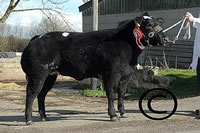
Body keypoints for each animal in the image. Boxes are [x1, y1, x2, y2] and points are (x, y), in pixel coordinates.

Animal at [20, 13, 169, 124]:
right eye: (149, 25)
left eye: (159, 24)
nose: (165, 39)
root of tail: (38, 37)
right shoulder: (111, 75)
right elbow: (111, 94)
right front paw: (113, 115)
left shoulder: (126, 76)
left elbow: (121, 94)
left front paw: (123, 113)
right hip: (37, 75)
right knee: (31, 94)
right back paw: (29, 120)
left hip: (50, 76)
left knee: (41, 95)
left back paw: (44, 117)